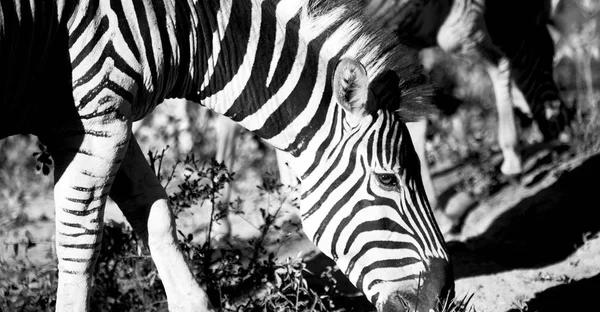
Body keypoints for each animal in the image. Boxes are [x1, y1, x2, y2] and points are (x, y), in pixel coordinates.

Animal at [0, 0, 452, 312]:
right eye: (388, 179)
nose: (443, 298)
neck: (178, 25)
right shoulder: (91, 120)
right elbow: (80, 246)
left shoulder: (111, 117)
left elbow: (156, 215)